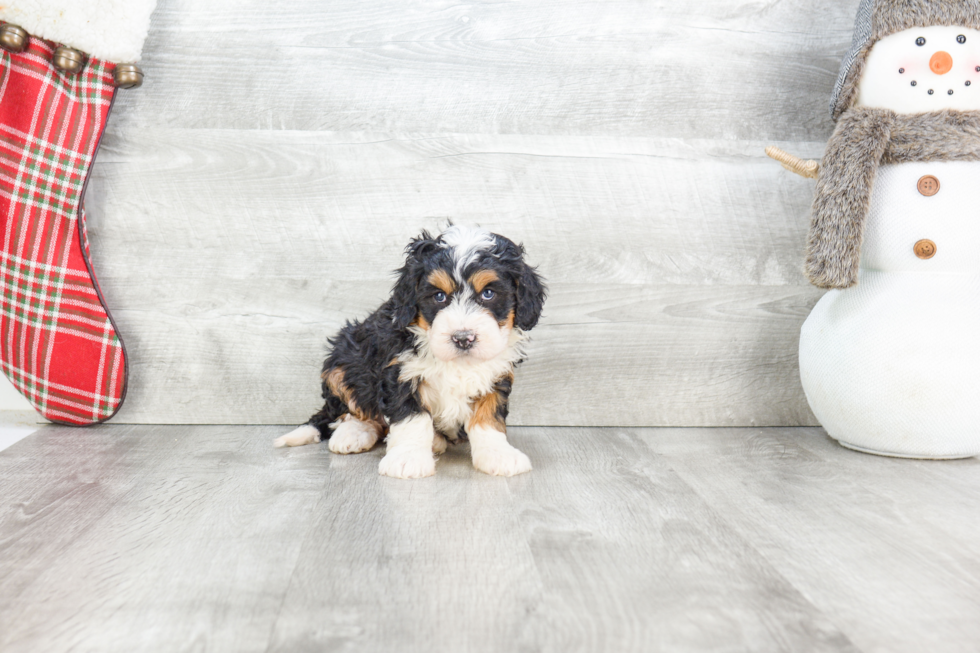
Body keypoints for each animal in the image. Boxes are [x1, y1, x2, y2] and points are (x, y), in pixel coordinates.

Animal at [276, 225, 548, 478]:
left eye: (488, 294)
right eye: (439, 296)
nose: (463, 339)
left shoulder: (496, 374)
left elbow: (488, 418)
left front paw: (498, 454)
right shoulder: (399, 371)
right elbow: (411, 418)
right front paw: (407, 459)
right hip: (343, 359)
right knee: (352, 409)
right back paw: (355, 433)